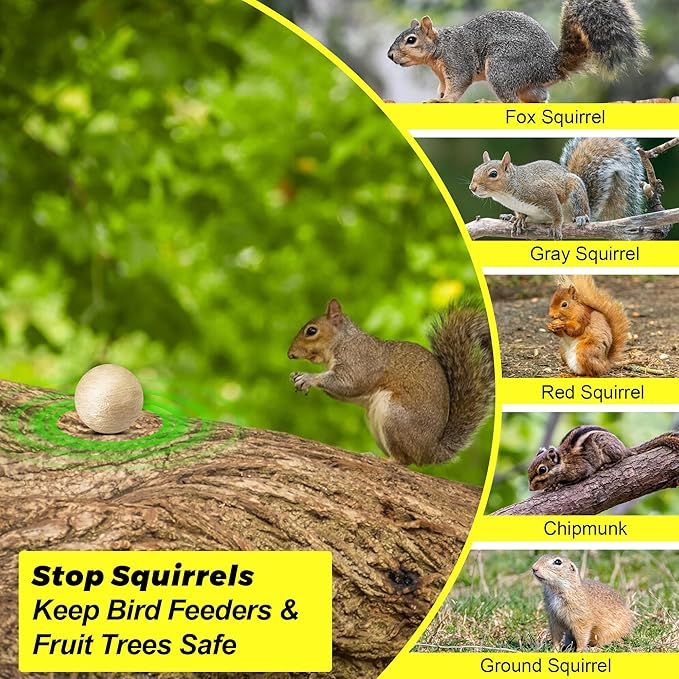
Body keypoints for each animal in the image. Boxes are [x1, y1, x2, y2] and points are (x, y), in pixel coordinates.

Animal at [286, 298, 494, 466]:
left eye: (311, 331)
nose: (290, 354)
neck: (342, 341)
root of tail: (431, 450)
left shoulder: (360, 361)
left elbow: (349, 383)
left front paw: (308, 377)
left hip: (394, 416)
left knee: (403, 460)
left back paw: (382, 459)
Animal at [386, 1, 648, 103]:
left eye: (411, 40)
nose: (390, 56)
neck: (439, 50)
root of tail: (550, 66)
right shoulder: (442, 75)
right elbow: (442, 87)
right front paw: (437, 97)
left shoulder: (458, 62)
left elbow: (458, 85)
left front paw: (444, 100)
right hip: (527, 84)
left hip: (502, 67)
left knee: (511, 101)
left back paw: (489, 101)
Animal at [469, 138, 645, 240]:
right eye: (475, 170)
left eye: (493, 174)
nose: (472, 188)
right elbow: (520, 213)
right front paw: (518, 219)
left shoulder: (543, 192)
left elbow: (556, 210)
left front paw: (556, 225)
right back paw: (509, 217)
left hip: (576, 194)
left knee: (578, 212)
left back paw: (582, 218)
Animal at [528, 425, 679, 491]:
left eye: (542, 470)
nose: (530, 489)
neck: (563, 462)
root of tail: (624, 447)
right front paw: (552, 486)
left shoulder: (581, 468)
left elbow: (579, 477)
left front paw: (560, 484)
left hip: (607, 447)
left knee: (621, 458)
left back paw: (607, 465)